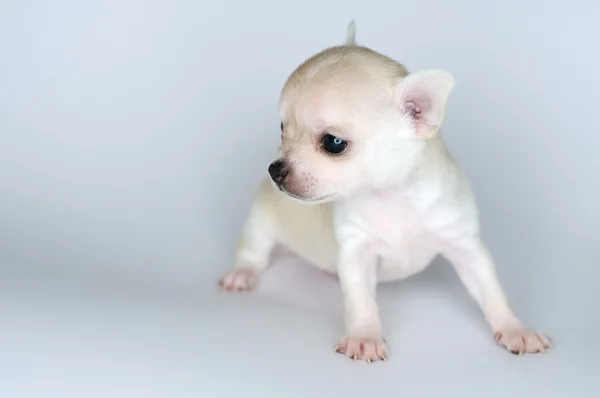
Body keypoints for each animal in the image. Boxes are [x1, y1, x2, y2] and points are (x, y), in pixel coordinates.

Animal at [218, 22, 552, 364]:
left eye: (333, 143)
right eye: (282, 129)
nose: (275, 169)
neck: (391, 195)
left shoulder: (464, 244)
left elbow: (491, 290)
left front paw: (515, 329)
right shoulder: (357, 252)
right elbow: (361, 300)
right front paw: (364, 336)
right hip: (262, 218)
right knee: (254, 250)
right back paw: (241, 274)